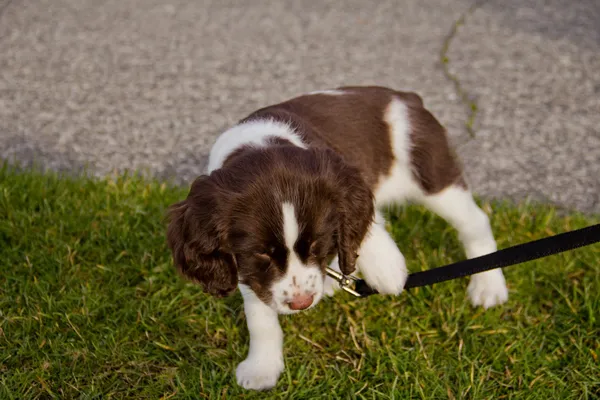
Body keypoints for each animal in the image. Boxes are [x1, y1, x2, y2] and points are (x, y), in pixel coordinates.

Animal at [166, 86, 508, 390]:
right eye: (261, 254)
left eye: (318, 244)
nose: (301, 303)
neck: (259, 142)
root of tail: (407, 98)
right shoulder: (247, 269)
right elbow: (259, 314)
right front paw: (262, 368)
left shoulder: (344, 178)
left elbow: (362, 221)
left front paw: (387, 269)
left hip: (433, 176)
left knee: (475, 223)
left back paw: (488, 286)